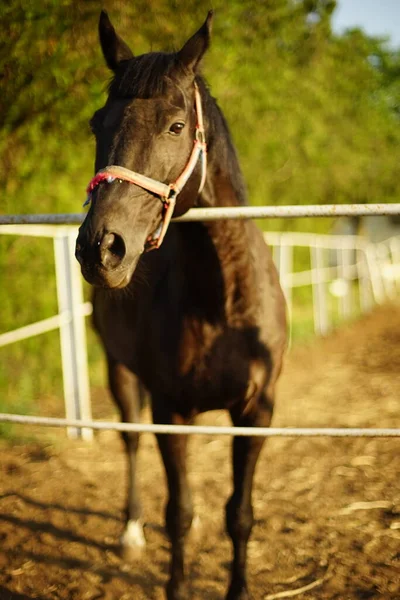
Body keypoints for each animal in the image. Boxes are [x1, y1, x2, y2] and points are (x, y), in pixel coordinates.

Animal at [76, 10, 288, 600]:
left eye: (175, 126)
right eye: (97, 125)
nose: (100, 248)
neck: (222, 307)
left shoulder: (257, 411)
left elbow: (239, 514)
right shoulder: (171, 412)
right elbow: (178, 513)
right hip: (119, 372)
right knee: (129, 442)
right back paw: (130, 531)